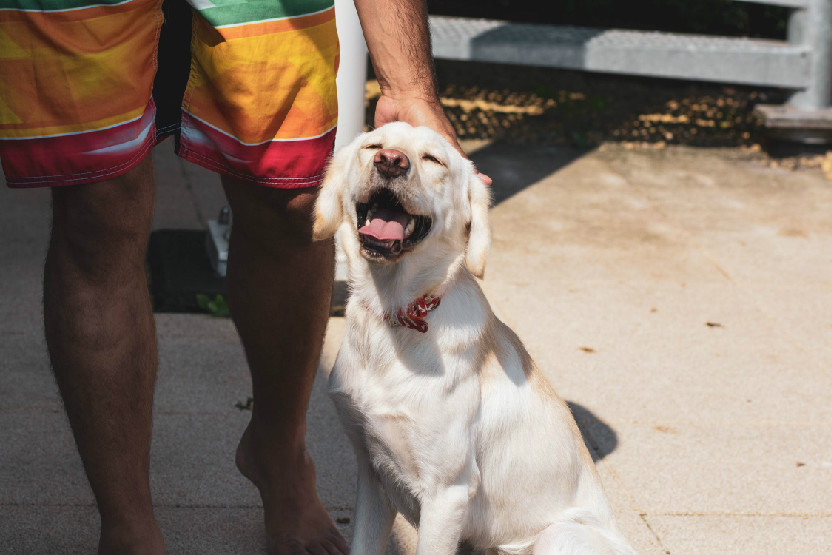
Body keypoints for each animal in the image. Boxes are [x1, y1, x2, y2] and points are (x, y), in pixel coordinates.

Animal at [310, 122, 632, 555]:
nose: (390, 161)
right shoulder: (373, 475)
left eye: (433, 159)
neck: (393, 316)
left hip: (558, 536)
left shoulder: (446, 494)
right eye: (373, 145)